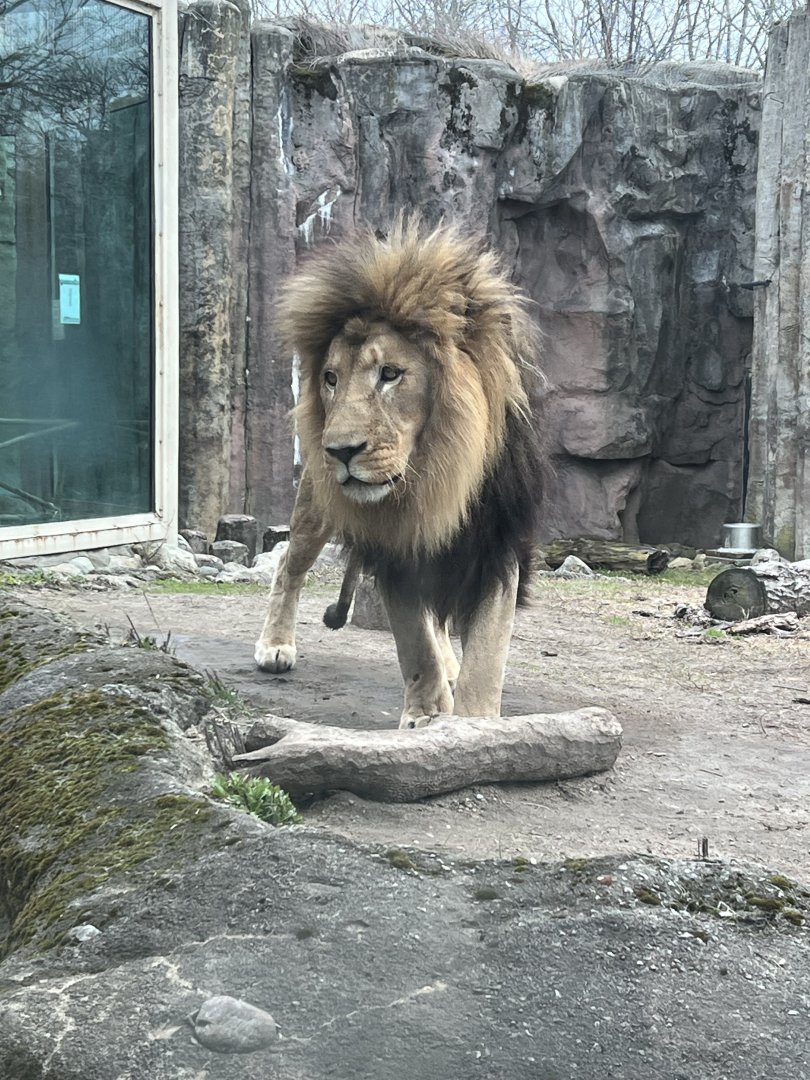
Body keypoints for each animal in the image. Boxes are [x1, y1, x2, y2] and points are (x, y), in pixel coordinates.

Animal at [254, 218, 545, 727]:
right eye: (331, 378)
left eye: (390, 374)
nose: (339, 451)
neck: (434, 476)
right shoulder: (392, 546)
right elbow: (414, 642)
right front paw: (427, 716)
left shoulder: (498, 546)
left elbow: (486, 655)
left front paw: (473, 723)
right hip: (315, 506)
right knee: (289, 562)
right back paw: (275, 645)